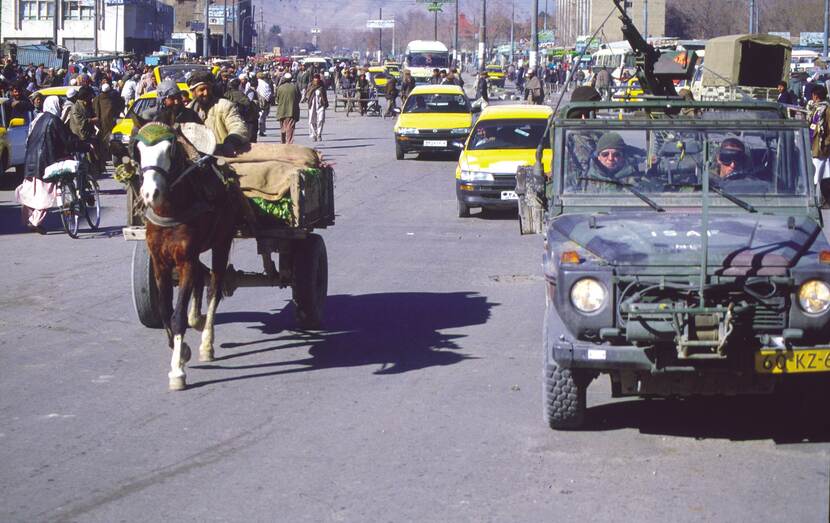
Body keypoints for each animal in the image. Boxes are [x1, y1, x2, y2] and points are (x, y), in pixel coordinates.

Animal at [136, 125, 245, 390]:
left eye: (170, 148)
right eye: (138, 149)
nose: (150, 194)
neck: (170, 210)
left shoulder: (185, 261)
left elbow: (177, 317)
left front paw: (177, 371)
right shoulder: (160, 263)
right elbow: (165, 311)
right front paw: (181, 349)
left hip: (221, 243)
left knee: (214, 287)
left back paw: (206, 342)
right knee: (201, 278)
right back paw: (196, 319)